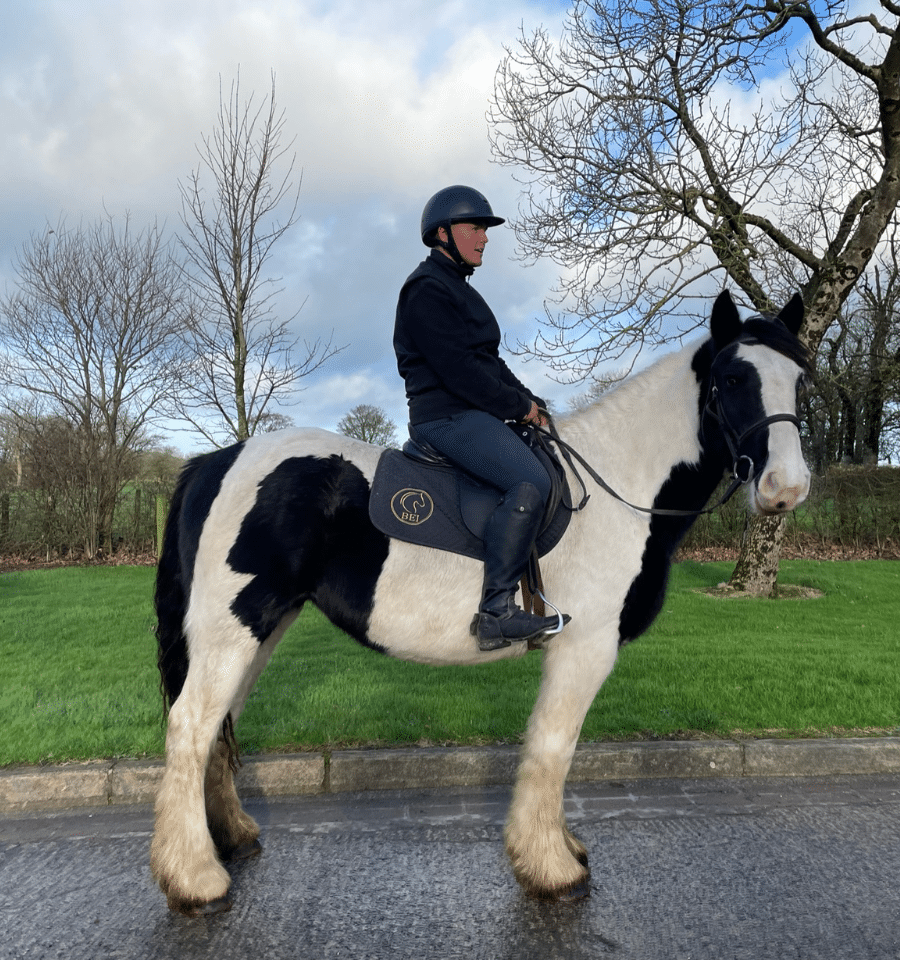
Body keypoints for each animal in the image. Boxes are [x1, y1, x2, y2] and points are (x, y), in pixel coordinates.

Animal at [150, 290, 811, 916]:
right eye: (733, 379)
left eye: (800, 378)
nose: (786, 489)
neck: (619, 488)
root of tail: (217, 461)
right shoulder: (584, 647)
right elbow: (553, 748)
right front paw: (551, 867)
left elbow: (551, 749)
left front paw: (559, 848)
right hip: (234, 628)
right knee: (191, 725)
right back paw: (195, 879)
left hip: (261, 628)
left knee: (218, 726)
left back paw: (231, 838)